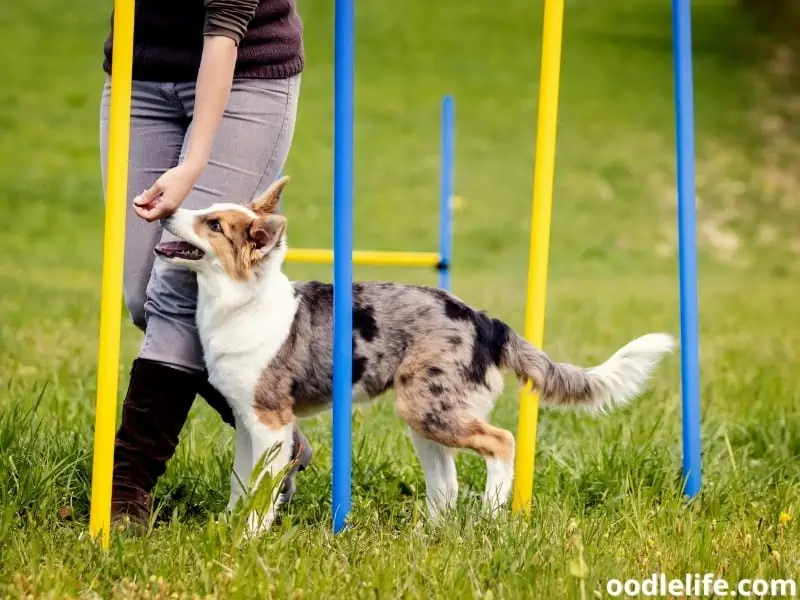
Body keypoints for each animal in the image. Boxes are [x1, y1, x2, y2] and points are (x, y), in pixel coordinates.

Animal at [152, 176, 676, 532]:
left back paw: (491, 514)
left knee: (501, 442)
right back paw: (435, 531)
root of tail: (484, 320)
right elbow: (242, 482)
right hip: (424, 414)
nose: (164, 207)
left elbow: (262, 489)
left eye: (213, 224)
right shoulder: (247, 422)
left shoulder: (271, 421)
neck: (240, 303)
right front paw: (230, 526)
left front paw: (251, 536)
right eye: (208, 211)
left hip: (429, 407)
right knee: (447, 481)